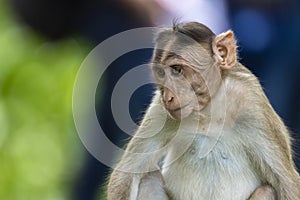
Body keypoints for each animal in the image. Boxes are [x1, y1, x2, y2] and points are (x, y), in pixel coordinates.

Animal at [106, 21, 298, 200]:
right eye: (161, 74)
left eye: (177, 69)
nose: (168, 96)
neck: (209, 110)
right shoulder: (159, 109)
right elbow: (126, 174)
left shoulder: (253, 104)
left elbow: (286, 183)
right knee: (148, 178)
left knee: (267, 190)